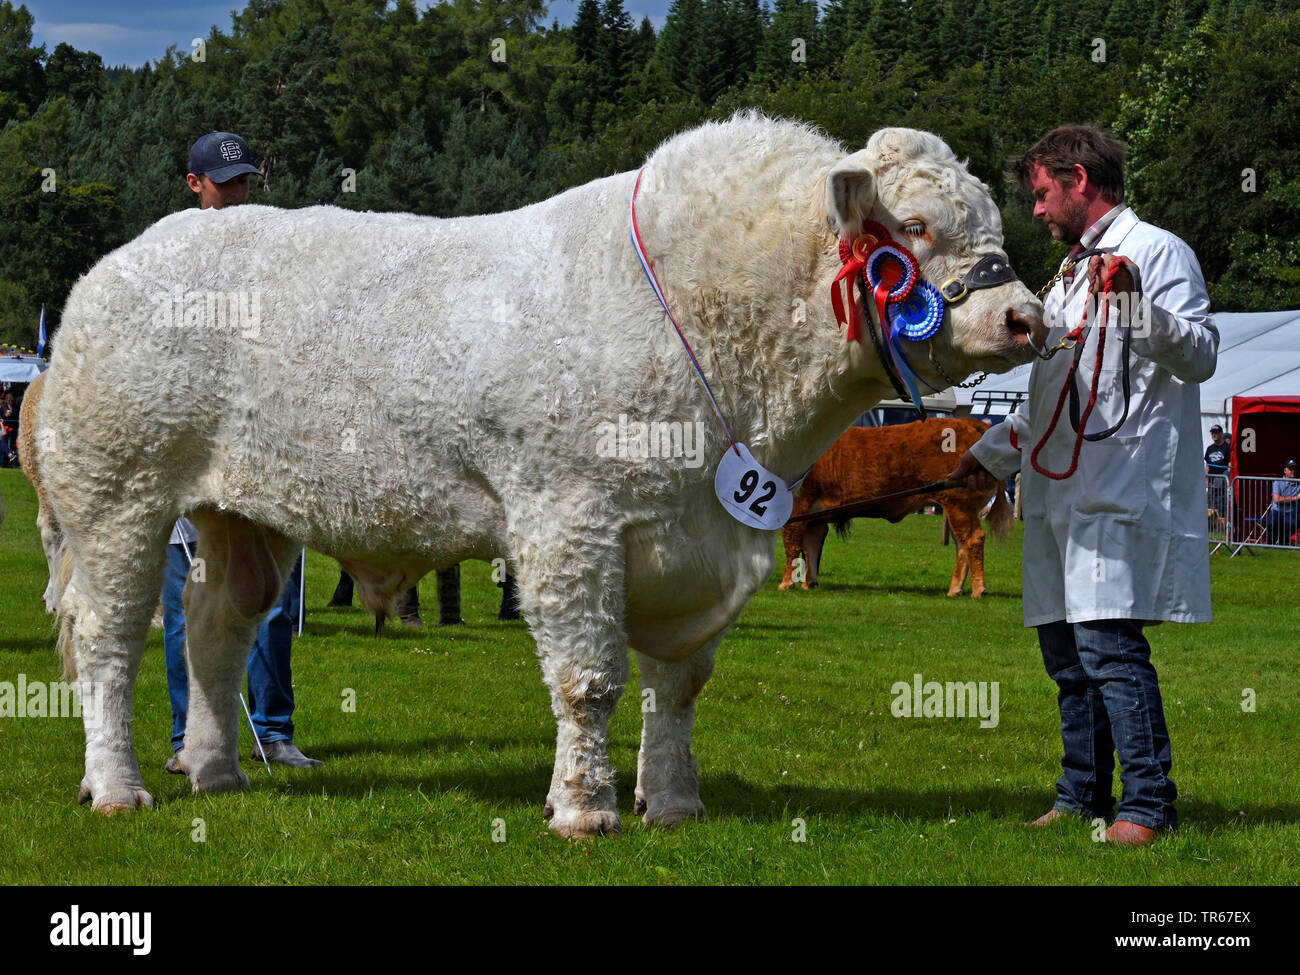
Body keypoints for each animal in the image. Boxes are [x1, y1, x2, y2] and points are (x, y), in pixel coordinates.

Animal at [774, 418, 1008, 600]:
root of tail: (966, 422)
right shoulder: (814, 519)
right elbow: (810, 549)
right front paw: (809, 583)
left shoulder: (796, 509)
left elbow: (792, 547)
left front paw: (786, 584)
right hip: (957, 509)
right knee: (962, 545)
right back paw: (955, 590)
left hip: (959, 505)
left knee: (973, 539)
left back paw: (978, 590)